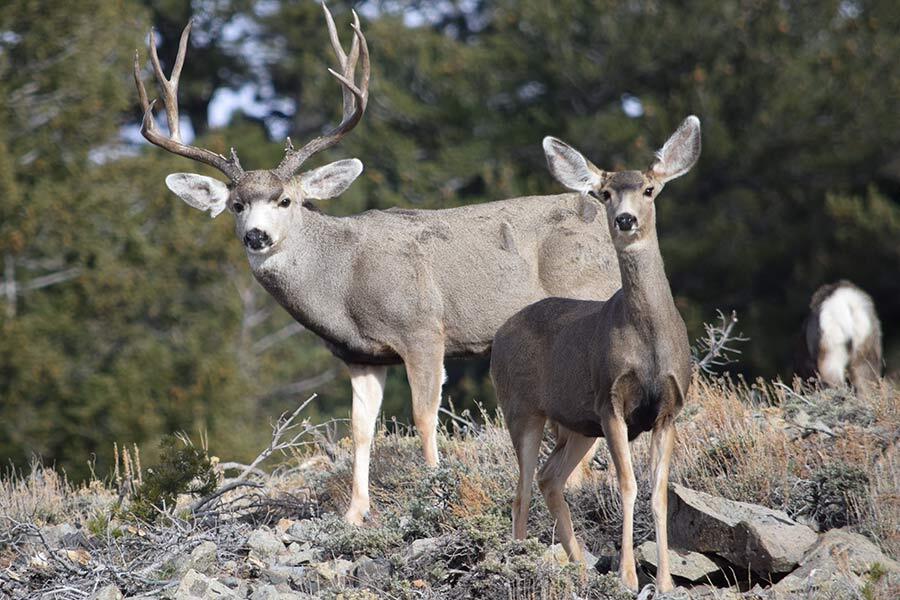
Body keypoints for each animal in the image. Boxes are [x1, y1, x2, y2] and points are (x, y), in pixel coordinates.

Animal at [133, 5, 622, 525]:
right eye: (235, 205)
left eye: (286, 200)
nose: (256, 236)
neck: (345, 280)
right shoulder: (361, 356)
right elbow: (361, 429)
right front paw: (354, 513)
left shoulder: (424, 328)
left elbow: (424, 417)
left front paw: (434, 487)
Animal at [491, 116, 701, 593]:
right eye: (605, 193)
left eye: (648, 189)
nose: (625, 219)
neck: (649, 343)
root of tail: (498, 334)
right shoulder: (610, 401)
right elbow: (627, 484)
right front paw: (627, 576)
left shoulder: (669, 409)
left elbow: (659, 492)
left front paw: (665, 582)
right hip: (521, 408)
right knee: (522, 490)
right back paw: (521, 562)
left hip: (576, 424)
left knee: (550, 478)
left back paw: (581, 568)